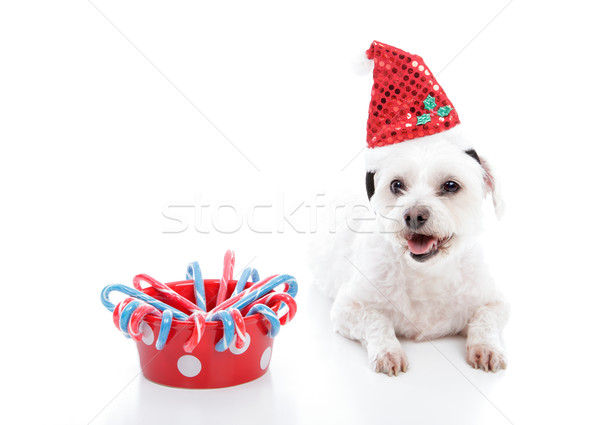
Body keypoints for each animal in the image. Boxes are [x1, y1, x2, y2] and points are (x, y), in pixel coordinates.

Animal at [312, 129, 508, 374]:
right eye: (396, 185)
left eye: (451, 185)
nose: (414, 215)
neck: (426, 273)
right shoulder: (347, 307)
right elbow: (377, 320)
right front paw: (388, 350)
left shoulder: (494, 301)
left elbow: (485, 318)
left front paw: (486, 347)